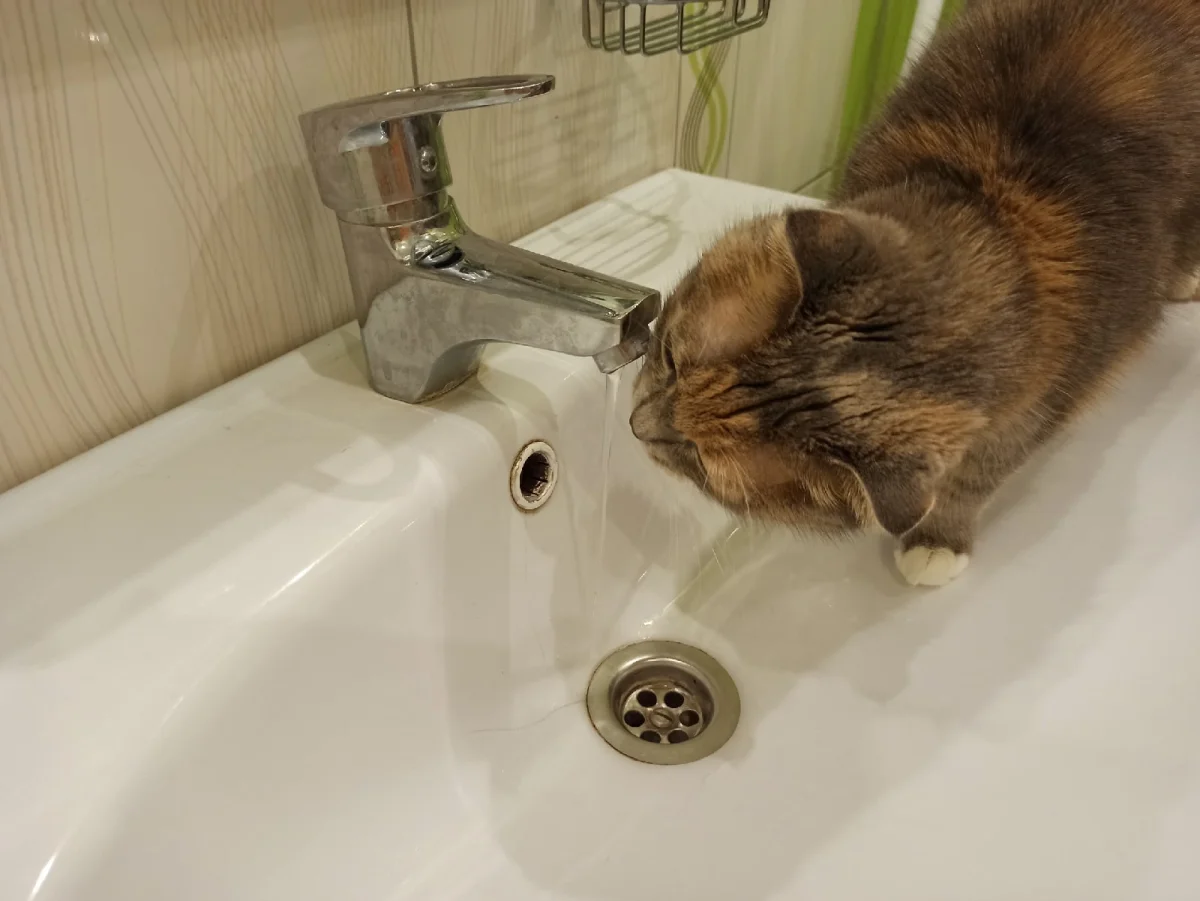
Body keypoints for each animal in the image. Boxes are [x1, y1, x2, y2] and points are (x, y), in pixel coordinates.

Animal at [631, 0, 1200, 587]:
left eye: (697, 459)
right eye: (670, 358)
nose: (634, 426)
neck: (1001, 223)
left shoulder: (1044, 405)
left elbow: (978, 476)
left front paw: (937, 540)